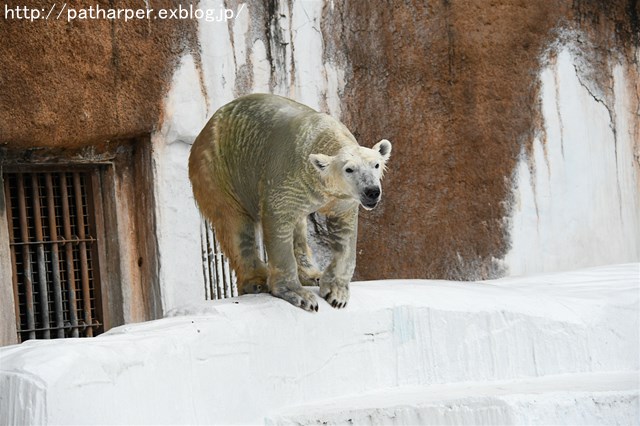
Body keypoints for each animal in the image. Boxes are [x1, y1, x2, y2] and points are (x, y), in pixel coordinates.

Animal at [188, 94, 392, 312]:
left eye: (376, 164)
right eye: (349, 169)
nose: (372, 191)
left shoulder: (340, 198)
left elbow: (344, 232)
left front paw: (336, 293)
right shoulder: (286, 176)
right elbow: (279, 221)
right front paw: (299, 295)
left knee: (298, 229)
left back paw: (312, 275)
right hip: (217, 171)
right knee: (235, 225)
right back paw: (256, 282)